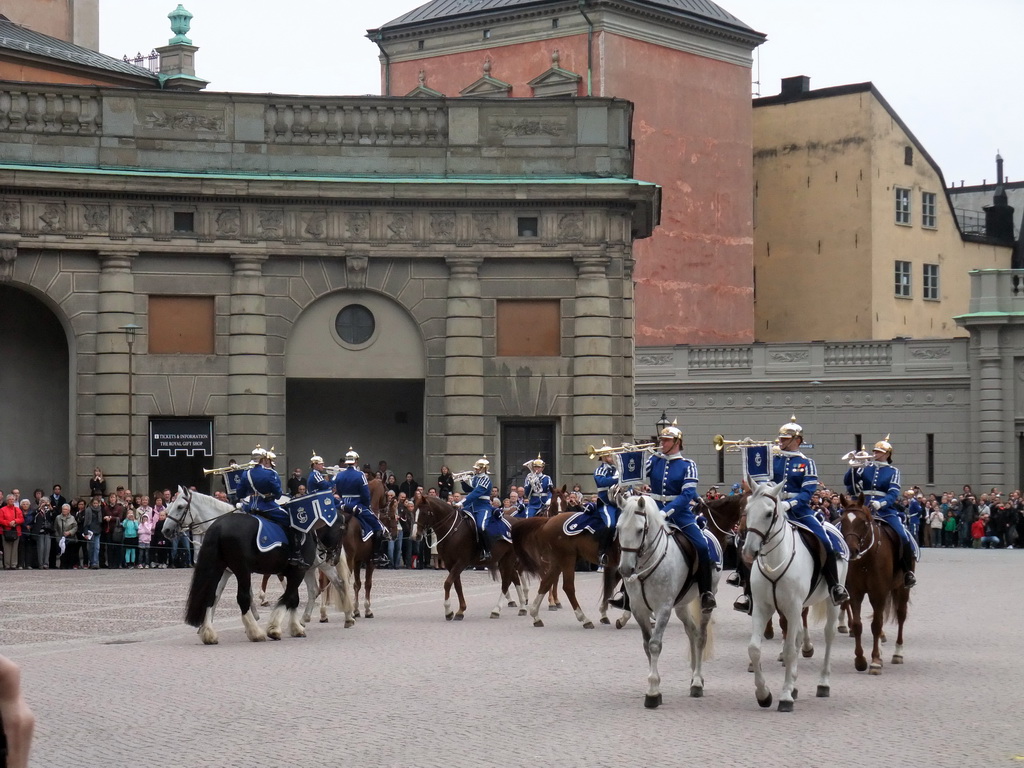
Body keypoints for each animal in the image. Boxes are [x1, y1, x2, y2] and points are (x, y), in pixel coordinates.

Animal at [159, 489, 352, 634]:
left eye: (180, 506)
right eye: (171, 505)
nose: (165, 530)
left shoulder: (240, 570)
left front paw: (254, 620)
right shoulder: (228, 571)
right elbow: (216, 595)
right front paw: (207, 626)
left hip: (322, 564)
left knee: (339, 583)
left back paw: (348, 616)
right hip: (310, 567)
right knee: (314, 590)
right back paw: (305, 620)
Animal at [614, 493, 720, 708]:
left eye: (640, 530)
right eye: (618, 528)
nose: (626, 569)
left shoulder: (663, 608)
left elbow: (655, 645)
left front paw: (653, 693)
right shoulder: (639, 609)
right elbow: (646, 645)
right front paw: (654, 686)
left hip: (705, 601)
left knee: (701, 636)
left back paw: (697, 681)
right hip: (681, 606)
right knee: (692, 633)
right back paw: (694, 677)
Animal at [741, 483, 843, 712]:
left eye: (768, 513)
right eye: (747, 510)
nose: (749, 551)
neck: (775, 558)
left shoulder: (794, 607)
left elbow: (788, 650)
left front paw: (785, 696)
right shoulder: (762, 607)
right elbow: (754, 649)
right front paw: (764, 694)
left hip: (831, 602)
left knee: (829, 634)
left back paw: (823, 683)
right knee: (797, 637)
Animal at [839, 499, 913, 671]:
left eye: (863, 522)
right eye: (843, 521)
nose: (851, 550)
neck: (865, 560)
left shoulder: (878, 593)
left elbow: (876, 624)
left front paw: (875, 661)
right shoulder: (856, 593)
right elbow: (858, 625)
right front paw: (860, 660)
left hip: (902, 588)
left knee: (901, 615)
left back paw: (897, 653)